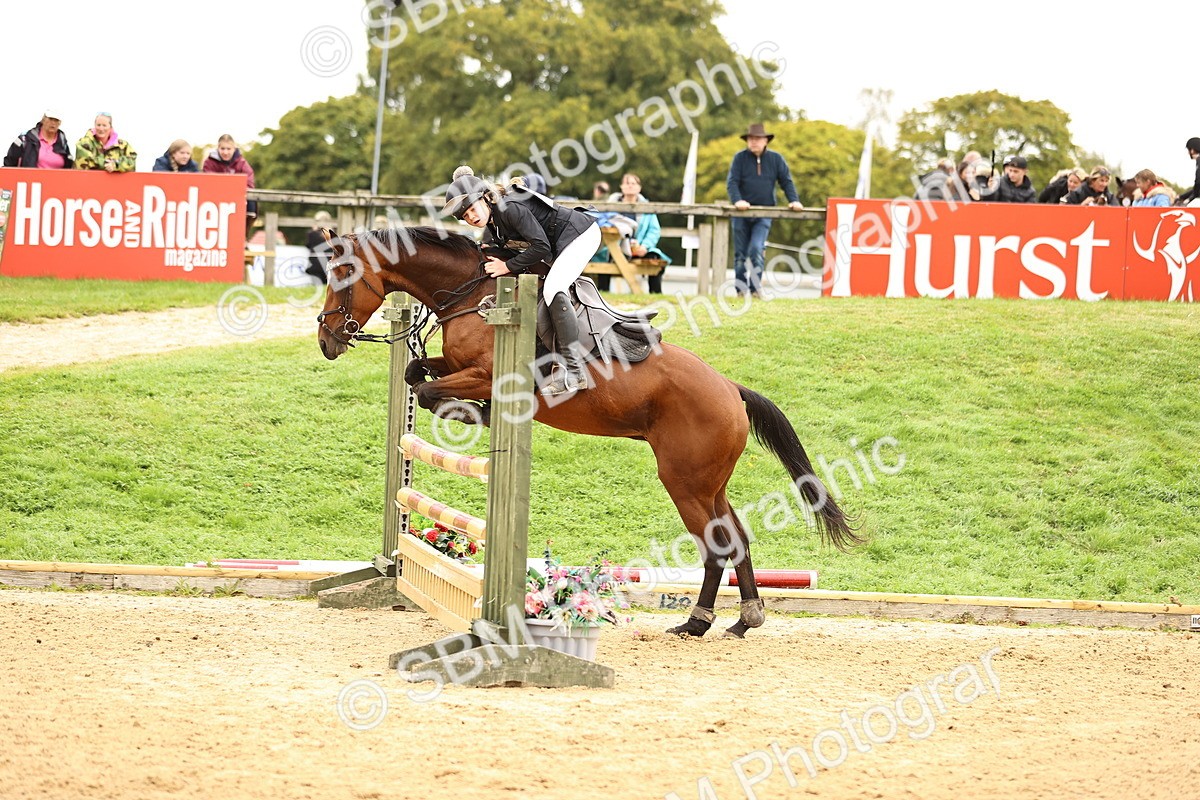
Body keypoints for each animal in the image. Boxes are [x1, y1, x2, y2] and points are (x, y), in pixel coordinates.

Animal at [316, 226, 860, 638]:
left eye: (343, 274)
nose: (326, 340)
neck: (475, 294)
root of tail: (730, 388)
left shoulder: (487, 374)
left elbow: (432, 393)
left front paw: (476, 414)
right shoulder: (454, 365)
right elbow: (417, 376)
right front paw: (465, 407)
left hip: (684, 481)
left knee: (715, 546)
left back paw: (696, 623)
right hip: (710, 482)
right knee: (737, 538)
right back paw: (743, 620)